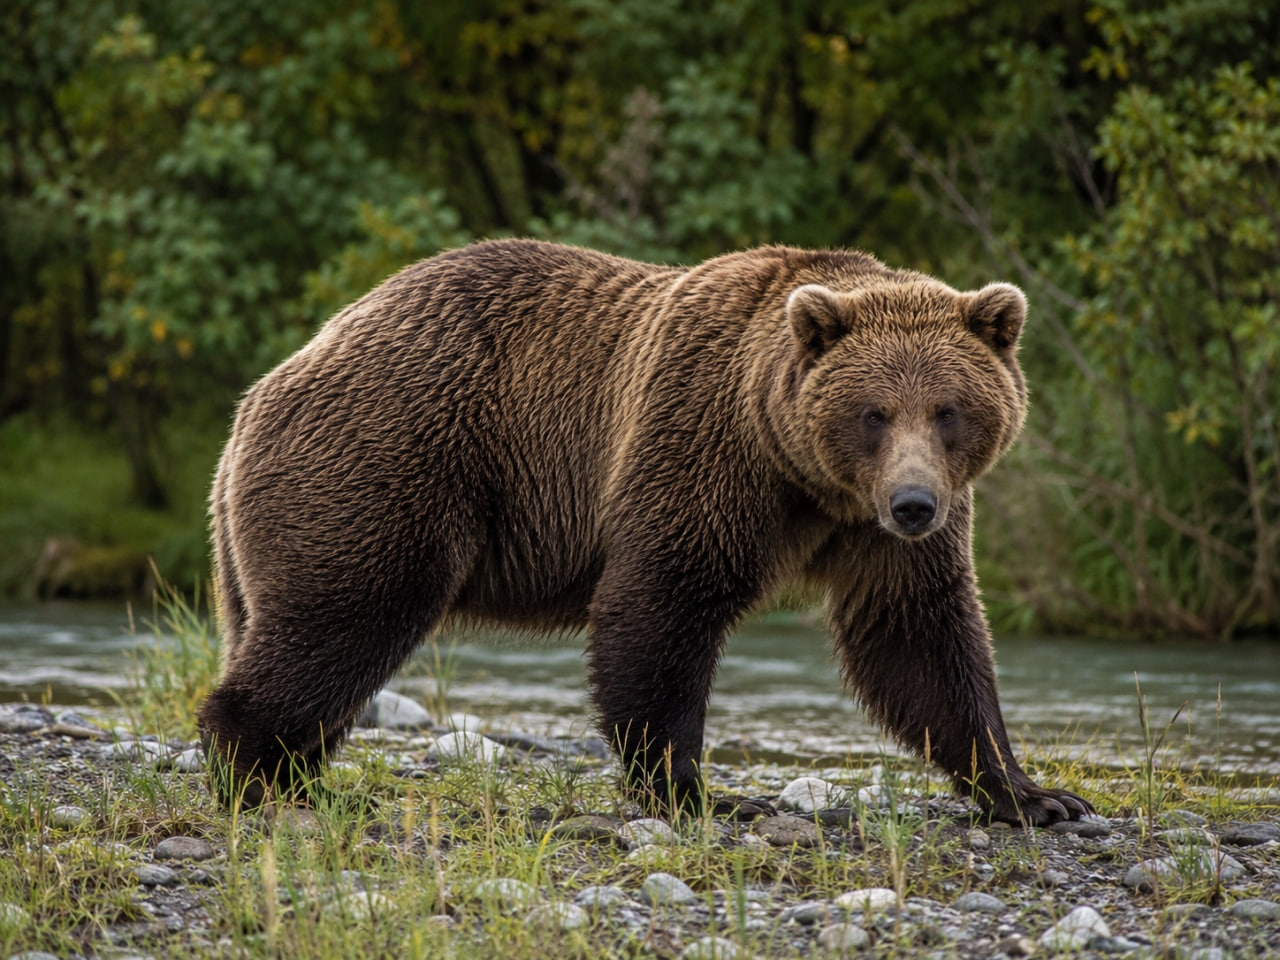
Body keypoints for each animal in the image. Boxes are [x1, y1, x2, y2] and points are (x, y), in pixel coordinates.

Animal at [197, 238, 1092, 826]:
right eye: (873, 413)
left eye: (949, 410)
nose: (912, 504)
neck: (808, 483)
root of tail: (264, 390)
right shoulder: (703, 452)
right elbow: (663, 608)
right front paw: (700, 792)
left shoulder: (876, 538)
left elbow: (921, 638)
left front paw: (1034, 794)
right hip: (390, 460)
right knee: (346, 612)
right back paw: (255, 771)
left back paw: (299, 776)